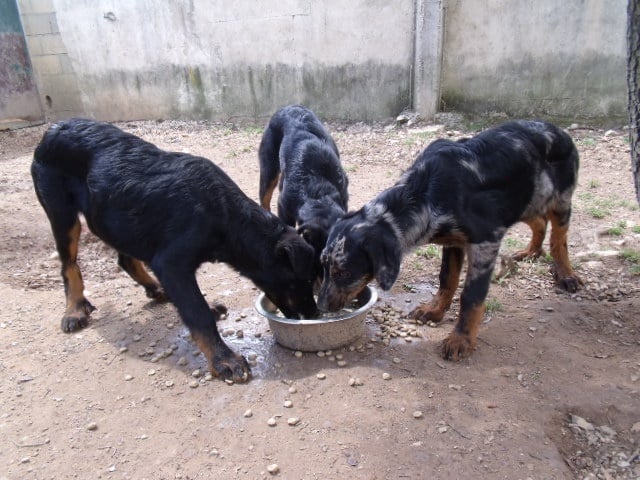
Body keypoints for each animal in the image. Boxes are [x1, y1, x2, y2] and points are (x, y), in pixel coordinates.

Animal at [32, 119, 318, 382]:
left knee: (125, 258)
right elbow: (197, 312)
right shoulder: (171, 264)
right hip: (63, 215)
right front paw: (224, 360)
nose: (314, 315)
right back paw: (75, 310)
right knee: (69, 265)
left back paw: (156, 289)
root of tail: (55, 128)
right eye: (301, 282)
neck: (226, 216)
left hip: (114, 219)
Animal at [258, 105, 350, 278]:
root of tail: (287, 107)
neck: (319, 194)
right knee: (264, 199)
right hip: (268, 171)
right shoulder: (283, 205)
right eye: (320, 264)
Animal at [318, 119, 584, 360]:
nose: (320, 307)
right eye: (324, 267)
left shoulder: (486, 240)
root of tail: (560, 131)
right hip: (525, 201)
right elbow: (447, 278)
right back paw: (531, 252)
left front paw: (461, 339)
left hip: (559, 200)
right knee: (539, 221)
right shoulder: (453, 240)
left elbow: (471, 296)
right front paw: (434, 310)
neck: (424, 192)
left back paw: (566, 274)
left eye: (344, 272)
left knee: (558, 239)